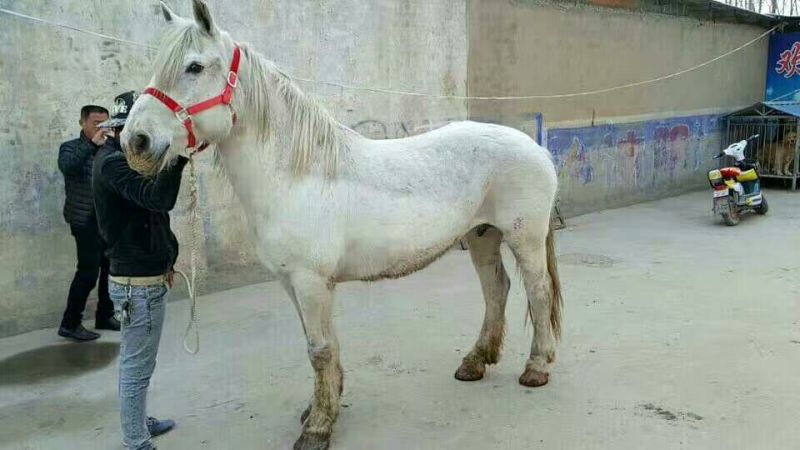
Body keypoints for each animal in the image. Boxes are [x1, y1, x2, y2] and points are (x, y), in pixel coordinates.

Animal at [122, 1, 563, 448]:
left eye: (194, 67)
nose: (135, 141)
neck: (298, 176)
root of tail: (534, 147)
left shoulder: (311, 281)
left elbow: (319, 349)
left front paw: (318, 427)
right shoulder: (294, 283)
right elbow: (321, 344)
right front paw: (324, 406)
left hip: (524, 237)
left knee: (539, 292)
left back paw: (537, 367)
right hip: (481, 236)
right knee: (496, 290)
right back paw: (476, 362)